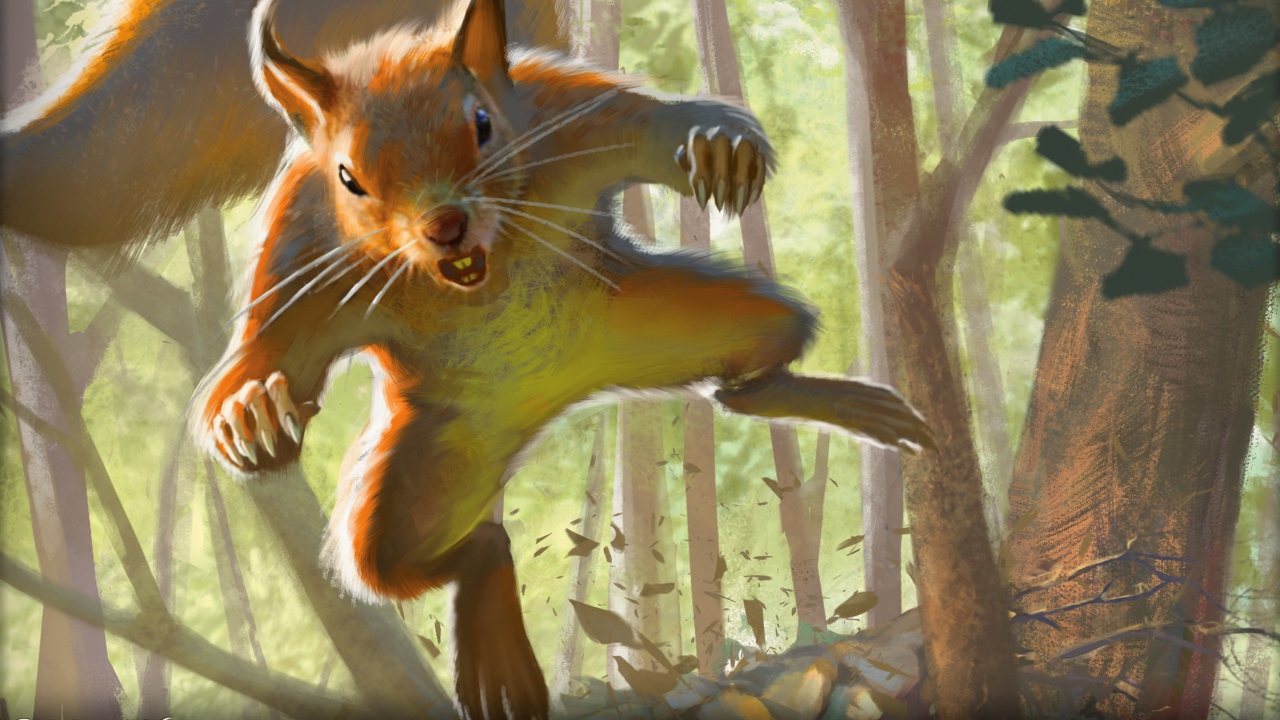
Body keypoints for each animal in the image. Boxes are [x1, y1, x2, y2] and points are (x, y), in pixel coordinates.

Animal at [194, 0, 932, 717]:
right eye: (348, 177)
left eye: (483, 124)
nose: (444, 226)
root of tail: (554, 393)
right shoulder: (305, 246)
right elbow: (270, 348)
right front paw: (251, 410)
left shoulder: (573, 116)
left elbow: (655, 123)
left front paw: (719, 144)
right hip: (425, 469)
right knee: (413, 559)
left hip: (691, 319)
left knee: (751, 372)